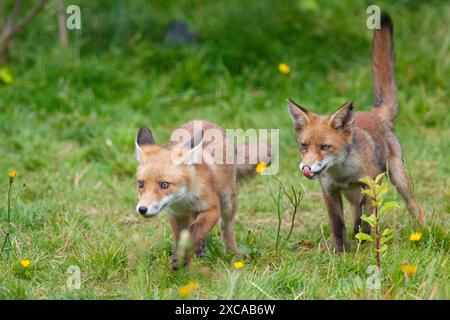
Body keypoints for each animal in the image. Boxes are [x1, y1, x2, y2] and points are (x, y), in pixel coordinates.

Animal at [134, 120, 270, 270]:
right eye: (141, 184)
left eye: (164, 185)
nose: (142, 209)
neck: (184, 199)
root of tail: (202, 120)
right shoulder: (177, 215)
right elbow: (181, 238)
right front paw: (182, 259)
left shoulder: (213, 208)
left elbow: (195, 229)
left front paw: (184, 257)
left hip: (227, 203)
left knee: (226, 228)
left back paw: (232, 253)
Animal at [288, 12, 422, 252]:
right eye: (303, 146)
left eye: (325, 147)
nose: (306, 168)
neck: (342, 174)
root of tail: (374, 114)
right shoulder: (330, 192)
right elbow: (338, 225)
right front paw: (341, 252)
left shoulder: (369, 187)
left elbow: (365, 223)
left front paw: (363, 248)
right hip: (353, 195)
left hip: (398, 178)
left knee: (414, 206)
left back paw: (424, 231)